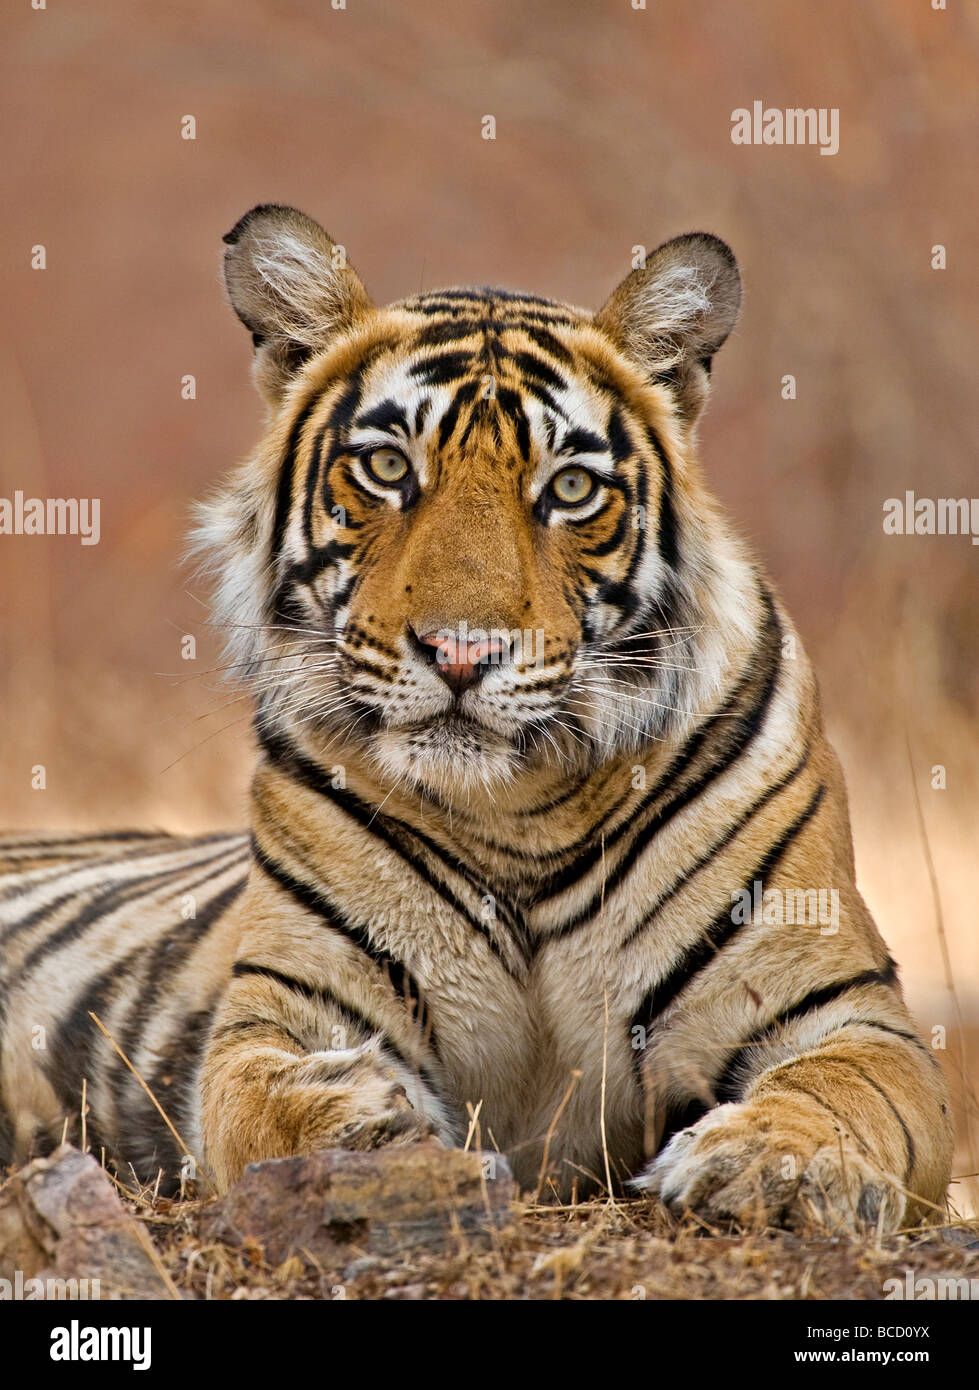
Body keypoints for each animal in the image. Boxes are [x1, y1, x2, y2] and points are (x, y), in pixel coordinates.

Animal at [0, 201, 945, 1234]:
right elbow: (254, 1099)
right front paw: (359, 1121)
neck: (520, 808)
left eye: (569, 488)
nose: (461, 653)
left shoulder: (844, 1009)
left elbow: (846, 1092)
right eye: (384, 469)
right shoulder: (281, 1009)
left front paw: (772, 1162)